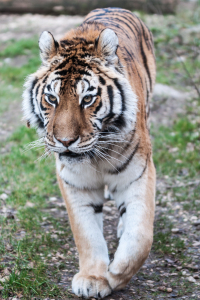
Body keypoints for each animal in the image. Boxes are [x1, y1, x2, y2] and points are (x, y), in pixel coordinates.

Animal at [22, 6, 156, 298]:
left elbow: (140, 236)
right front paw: (93, 278)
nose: (65, 141)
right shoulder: (75, 183)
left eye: (87, 99)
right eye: (52, 98)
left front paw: (116, 274)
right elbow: (87, 234)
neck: (96, 155)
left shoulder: (138, 175)